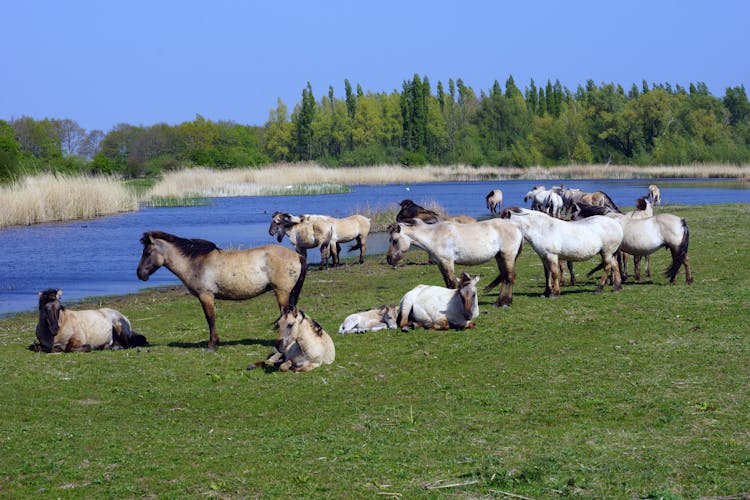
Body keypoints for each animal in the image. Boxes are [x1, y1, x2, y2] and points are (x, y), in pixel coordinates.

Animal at [137, 231, 306, 352]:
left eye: (147, 252)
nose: (140, 274)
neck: (196, 263)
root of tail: (297, 255)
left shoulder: (206, 296)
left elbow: (210, 319)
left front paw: (212, 345)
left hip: (282, 292)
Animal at [388, 220, 524, 308]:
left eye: (394, 241)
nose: (389, 259)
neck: (434, 236)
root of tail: (517, 227)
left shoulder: (447, 262)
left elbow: (451, 283)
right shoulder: (440, 264)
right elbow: (447, 284)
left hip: (507, 256)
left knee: (509, 277)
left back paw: (505, 302)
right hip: (500, 256)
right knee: (505, 277)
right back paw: (499, 302)